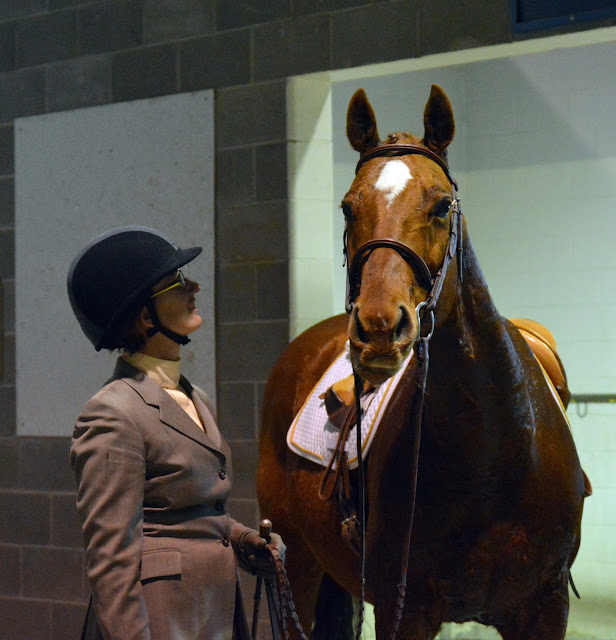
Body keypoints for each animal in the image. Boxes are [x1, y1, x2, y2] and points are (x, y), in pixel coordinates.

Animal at [256, 85, 589, 640]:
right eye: (347, 208)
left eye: (441, 206)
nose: (377, 330)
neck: (493, 453)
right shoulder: (405, 609)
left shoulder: (545, 608)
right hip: (294, 566)